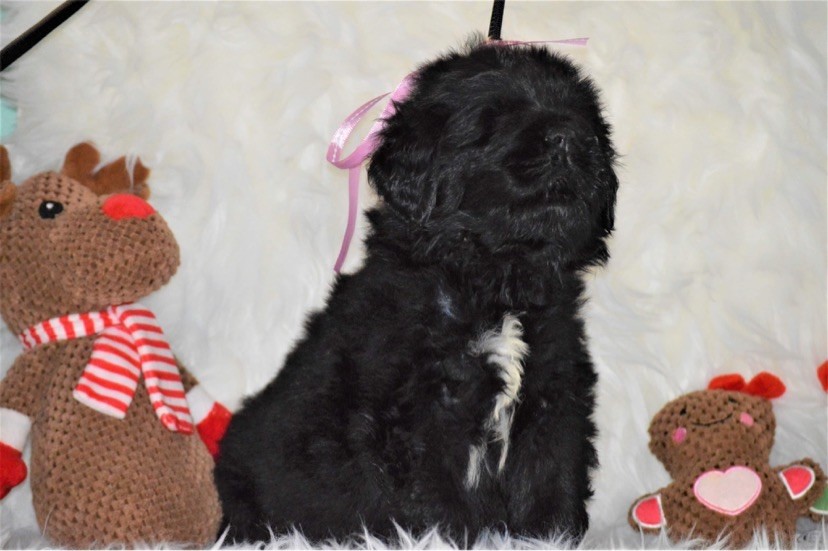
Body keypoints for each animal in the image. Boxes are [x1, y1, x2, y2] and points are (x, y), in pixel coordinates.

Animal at [214, 37, 619, 544]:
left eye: (587, 122)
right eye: (491, 121)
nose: (568, 136)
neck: (498, 285)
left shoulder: (553, 400)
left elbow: (552, 488)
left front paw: (550, 539)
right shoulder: (420, 419)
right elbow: (440, 508)